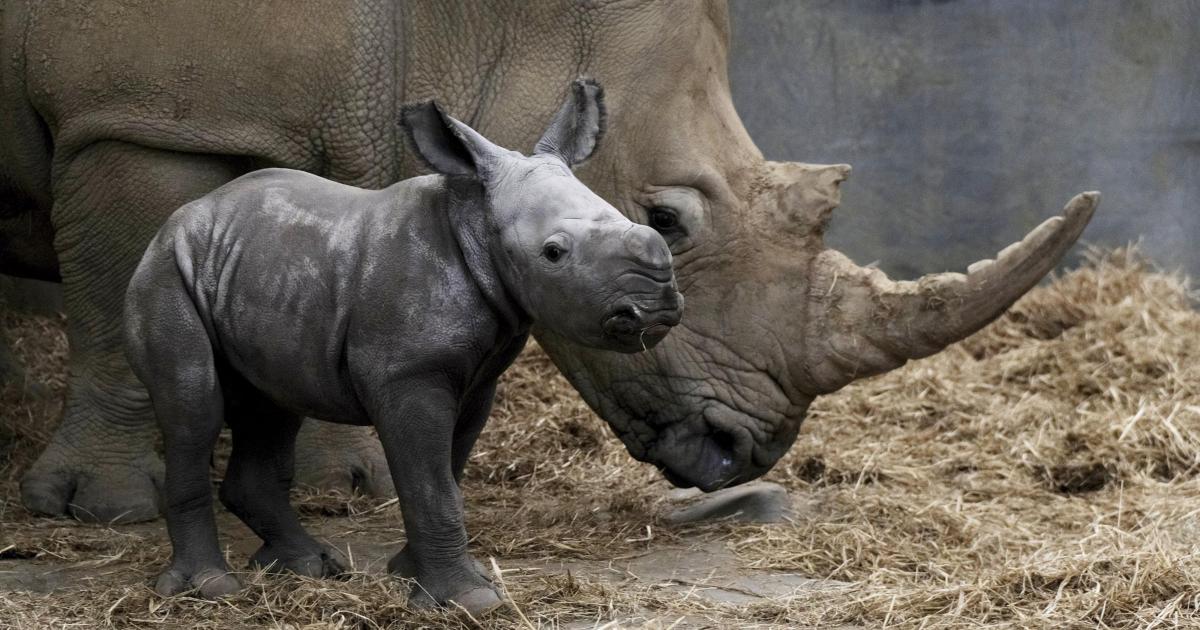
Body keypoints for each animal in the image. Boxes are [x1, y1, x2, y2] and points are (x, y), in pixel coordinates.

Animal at [0, 1, 1096, 521]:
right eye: (666, 220)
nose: (747, 451)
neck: (464, 17)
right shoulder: (142, 115)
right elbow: (118, 297)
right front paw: (102, 509)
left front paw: (346, 489)